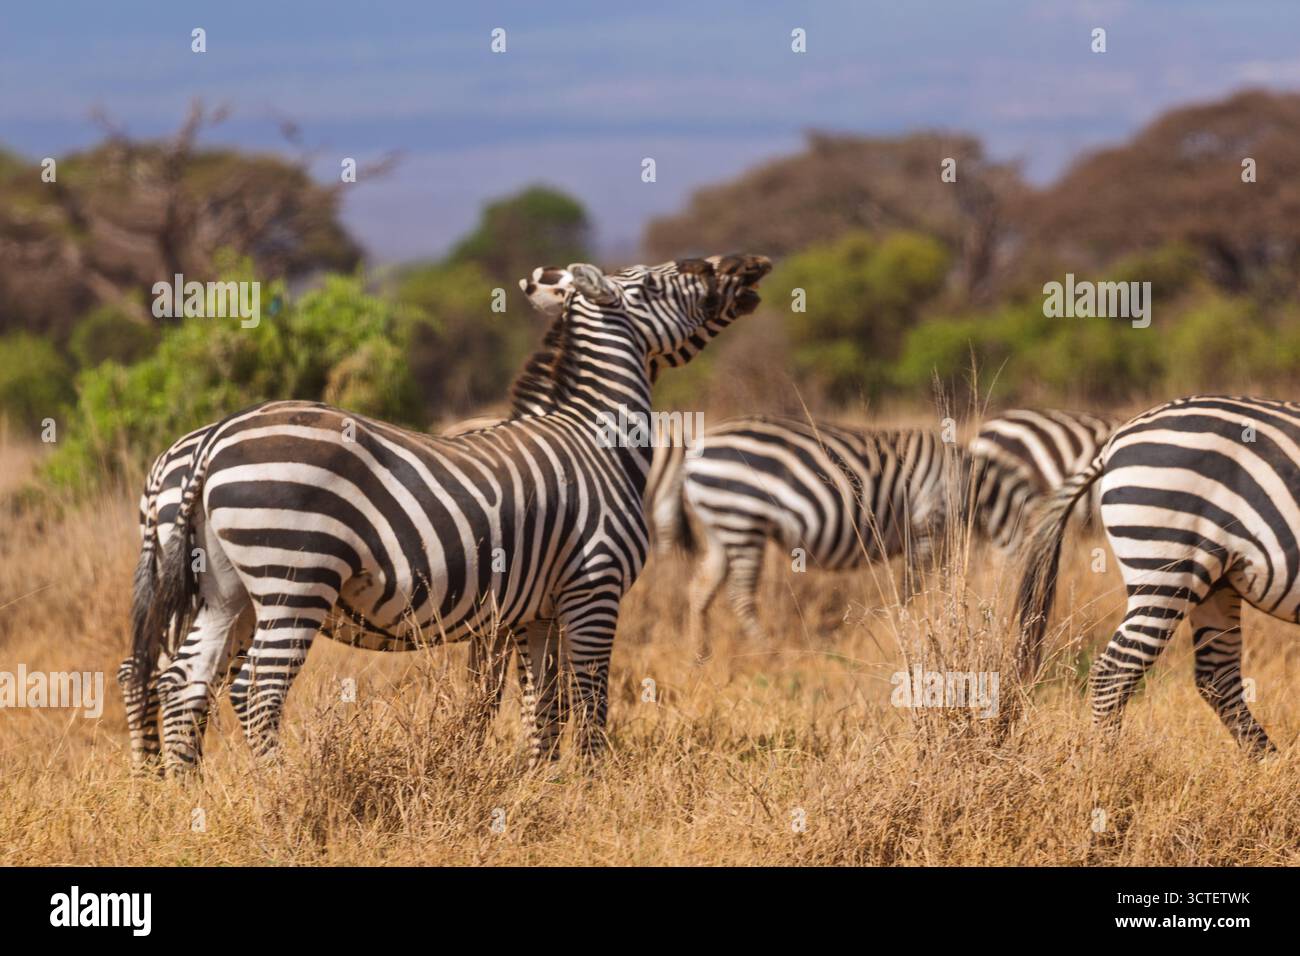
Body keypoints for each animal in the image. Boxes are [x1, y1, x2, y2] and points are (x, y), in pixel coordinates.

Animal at [126, 254, 771, 771]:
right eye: (660, 281)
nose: (750, 267)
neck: (597, 437)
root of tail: (212, 441)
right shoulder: (594, 585)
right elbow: (587, 697)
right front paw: (591, 784)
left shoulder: (536, 608)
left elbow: (543, 702)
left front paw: (541, 783)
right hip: (294, 579)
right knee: (251, 689)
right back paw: (281, 791)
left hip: (223, 588)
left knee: (183, 682)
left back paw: (185, 793)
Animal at [677, 417, 961, 657]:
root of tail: (693, 453)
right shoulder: (927, 528)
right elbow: (911, 589)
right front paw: (906, 627)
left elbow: (940, 585)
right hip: (741, 518)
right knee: (739, 594)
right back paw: (770, 651)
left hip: (720, 526)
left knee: (701, 587)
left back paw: (700, 655)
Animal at [1015, 395, 1300, 755]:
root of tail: (1114, 442)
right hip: (1167, 568)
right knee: (1115, 671)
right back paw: (1107, 762)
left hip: (1215, 578)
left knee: (1217, 674)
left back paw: (1269, 761)